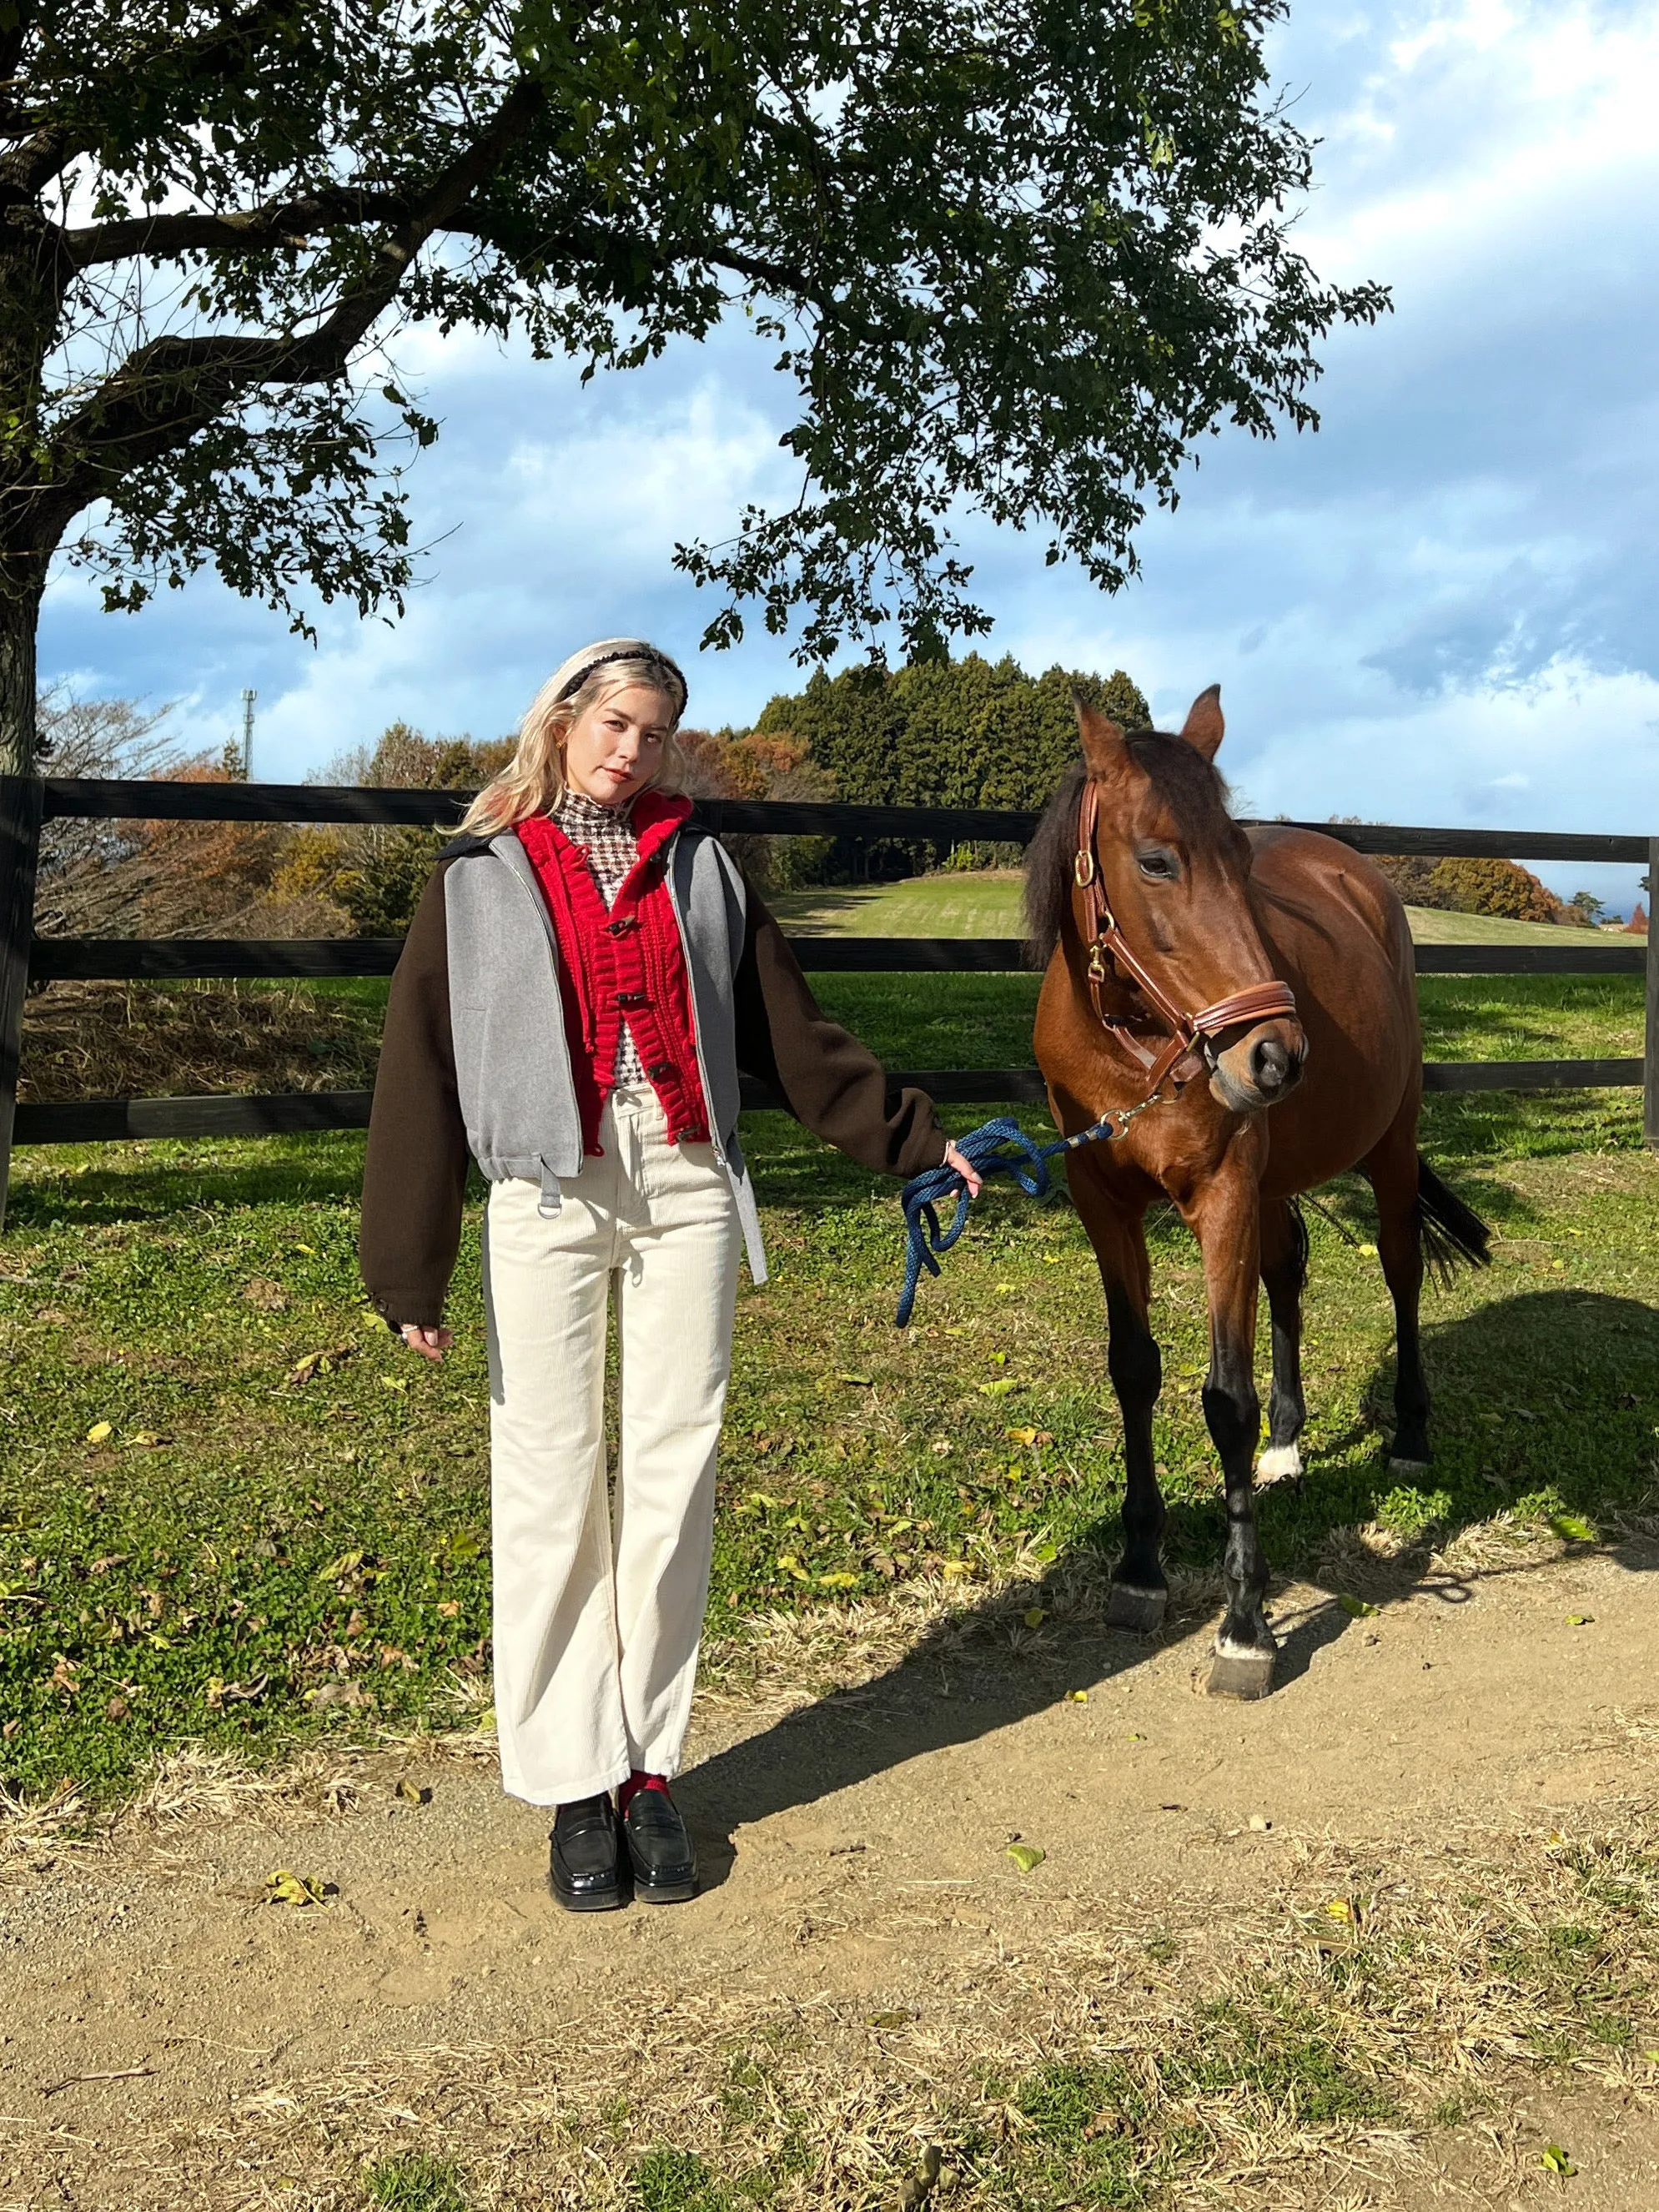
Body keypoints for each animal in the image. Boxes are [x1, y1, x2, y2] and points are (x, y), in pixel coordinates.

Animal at [1026, 686, 1495, 1690]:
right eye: (1155, 859)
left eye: (1240, 861)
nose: (1277, 1055)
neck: (1135, 1048)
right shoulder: (1104, 1206)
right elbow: (1136, 1371)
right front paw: (1141, 1567)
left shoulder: (1225, 1200)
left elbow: (1223, 1400)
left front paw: (1244, 1621)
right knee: (1288, 1277)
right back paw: (1288, 1443)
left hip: (1389, 1148)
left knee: (1399, 1270)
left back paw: (1409, 1437)